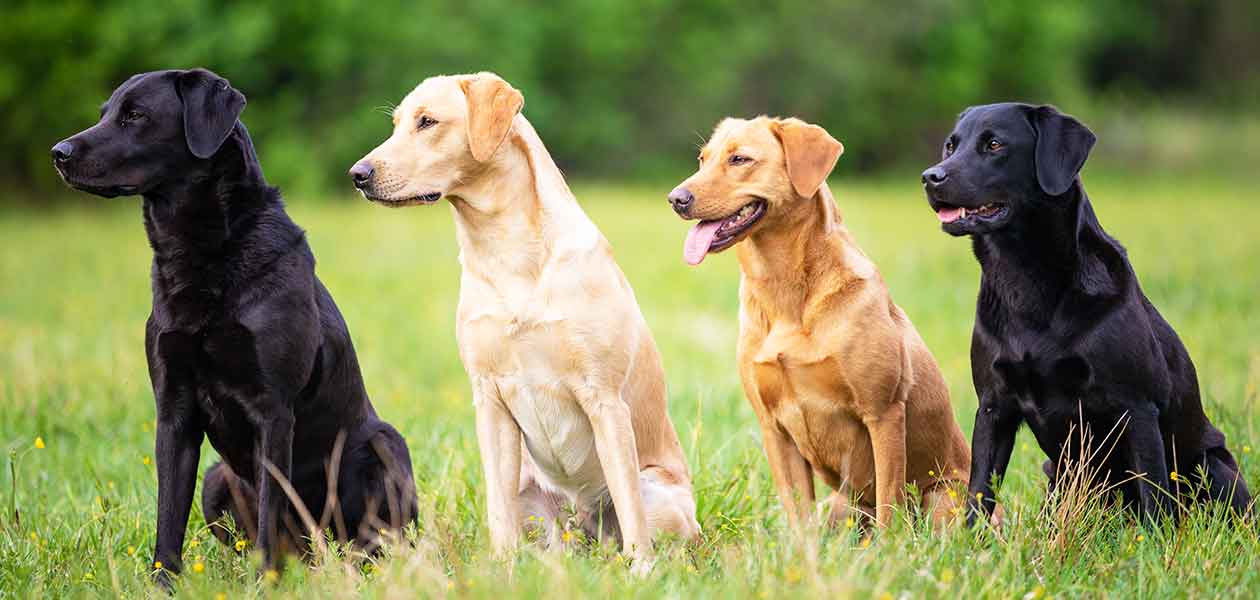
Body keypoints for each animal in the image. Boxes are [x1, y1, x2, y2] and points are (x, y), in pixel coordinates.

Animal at [50, 68, 418, 582]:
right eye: (105, 113)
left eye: (135, 115)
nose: (58, 153)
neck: (201, 255)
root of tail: (318, 551)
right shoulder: (174, 409)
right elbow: (169, 515)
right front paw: (163, 583)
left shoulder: (273, 409)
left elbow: (269, 509)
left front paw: (266, 583)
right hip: (215, 478)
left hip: (385, 445)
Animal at [350, 72, 700, 569]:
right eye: (396, 124)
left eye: (427, 122)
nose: (357, 174)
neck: (505, 250)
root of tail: (582, 525)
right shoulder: (489, 400)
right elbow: (498, 510)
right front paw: (501, 568)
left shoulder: (604, 399)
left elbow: (629, 506)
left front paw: (641, 571)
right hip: (532, 498)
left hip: (663, 498)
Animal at [670, 115, 972, 524]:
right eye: (702, 160)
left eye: (739, 159)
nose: (676, 198)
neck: (785, 292)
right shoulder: (773, 428)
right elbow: (798, 517)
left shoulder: (884, 413)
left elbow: (889, 504)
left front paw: (890, 542)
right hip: (839, 505)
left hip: (944, 500)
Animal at [922, 103, 1254, 524]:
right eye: (951, 146)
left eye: (994, 144)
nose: (930, 177)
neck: (1023, 278)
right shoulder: (993, 405)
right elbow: (979, 492)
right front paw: (972, 538)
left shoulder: (1136, 407)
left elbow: (1153, 495)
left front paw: (1154, 541)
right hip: (1056, 474)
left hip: (1211, 466)